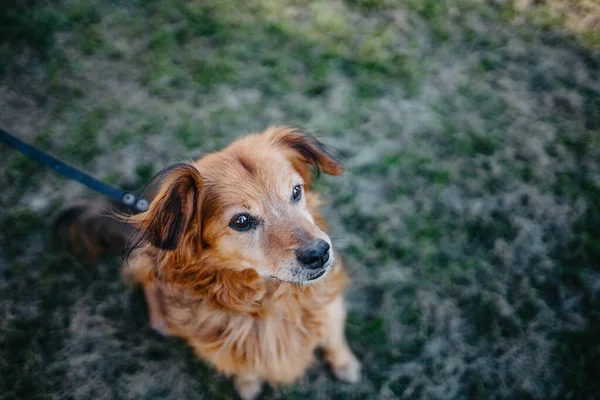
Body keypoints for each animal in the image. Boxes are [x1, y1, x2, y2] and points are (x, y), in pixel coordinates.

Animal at [61, 126, 360, 398]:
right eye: (241, 220)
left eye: (296, 191)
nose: (320, 253)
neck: (268, 301)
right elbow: (244, 365)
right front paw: (248, 385)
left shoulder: (330, 307)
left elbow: (333, 336)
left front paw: (346, 365)